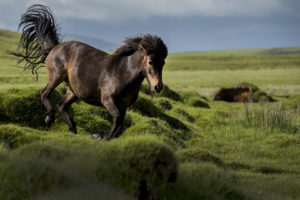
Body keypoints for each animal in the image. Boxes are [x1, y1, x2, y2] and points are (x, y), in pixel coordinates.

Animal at [9, 4, 168, 139]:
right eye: (150, 62)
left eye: (163, 63)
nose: (158, 87)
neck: (123, 73)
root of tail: (54, 48)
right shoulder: (107, 99)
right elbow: (117, 119)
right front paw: (101, 136)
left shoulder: (123, 106)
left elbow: (120, 123)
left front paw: (104, 136)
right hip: (56, 77)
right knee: (44, 94)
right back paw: (49, 119)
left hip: (73, 90)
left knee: (62, 105)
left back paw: (72, 129)